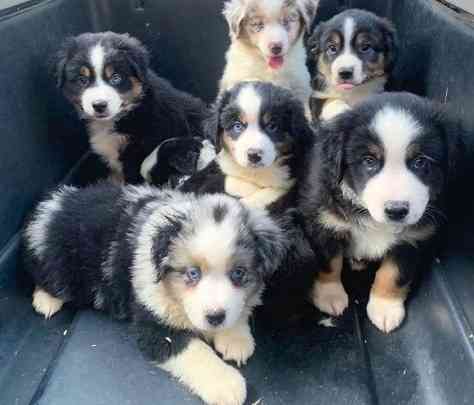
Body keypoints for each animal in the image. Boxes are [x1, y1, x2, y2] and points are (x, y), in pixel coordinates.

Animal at [24, 182, 286, 404]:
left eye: (238, 273)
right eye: (192, 273)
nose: (215, 317)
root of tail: (55, 204)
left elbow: (239, 310)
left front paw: (235, 338)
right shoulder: (154, 322)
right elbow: (194, 350)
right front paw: (227, 385)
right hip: (61, 267)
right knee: (42, 275)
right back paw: (46, 301)